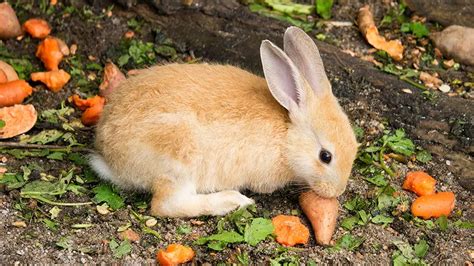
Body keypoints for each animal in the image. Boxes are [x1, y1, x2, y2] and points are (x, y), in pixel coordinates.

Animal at [89, 26, 358, 218]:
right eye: (325, 156)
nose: (338, 191)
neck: (287, 133)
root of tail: (108, 157)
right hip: (178, 158)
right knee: (166, 205)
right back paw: (231, 201)